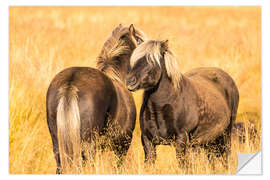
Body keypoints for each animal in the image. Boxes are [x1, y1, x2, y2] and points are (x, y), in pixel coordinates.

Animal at [125, 39, 239, 169]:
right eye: (135, 60)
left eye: (151, 61)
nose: (130, 81)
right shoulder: (147, 141)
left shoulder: (181, 140)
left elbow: (183, 165)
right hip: (208, 141)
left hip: (226, 136)